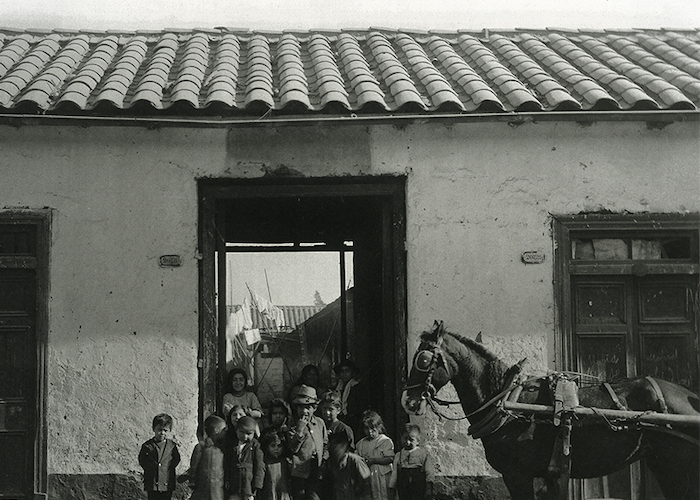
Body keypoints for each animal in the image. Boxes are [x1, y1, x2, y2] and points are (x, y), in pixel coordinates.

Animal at [400, 320, 700, 500]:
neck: (507, 401)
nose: (408, 401)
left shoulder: (517, 475)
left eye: (423, 359)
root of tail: (690, 396)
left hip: (676, 466)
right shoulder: (549, 476)